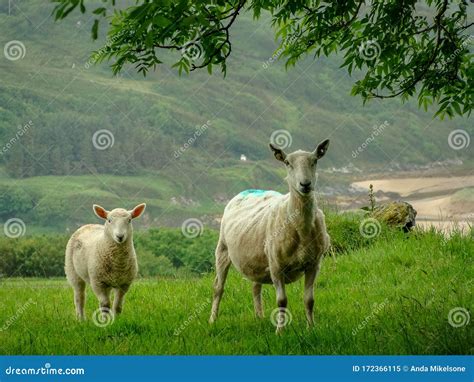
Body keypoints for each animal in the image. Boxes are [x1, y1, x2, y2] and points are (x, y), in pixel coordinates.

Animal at [209, 140, 332, 332]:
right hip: (222, 250)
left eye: (315, 161)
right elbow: (282, 301)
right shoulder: (276, 265)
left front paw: (311, 328)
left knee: (255, 287)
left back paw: (259, 317)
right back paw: (212, 320)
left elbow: (309, 300)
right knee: (218, 288)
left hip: (255, 258)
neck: (301, 229)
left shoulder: (314, 264)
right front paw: (280, 331)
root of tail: (247, 190)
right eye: (287, 163)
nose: (305, 184)